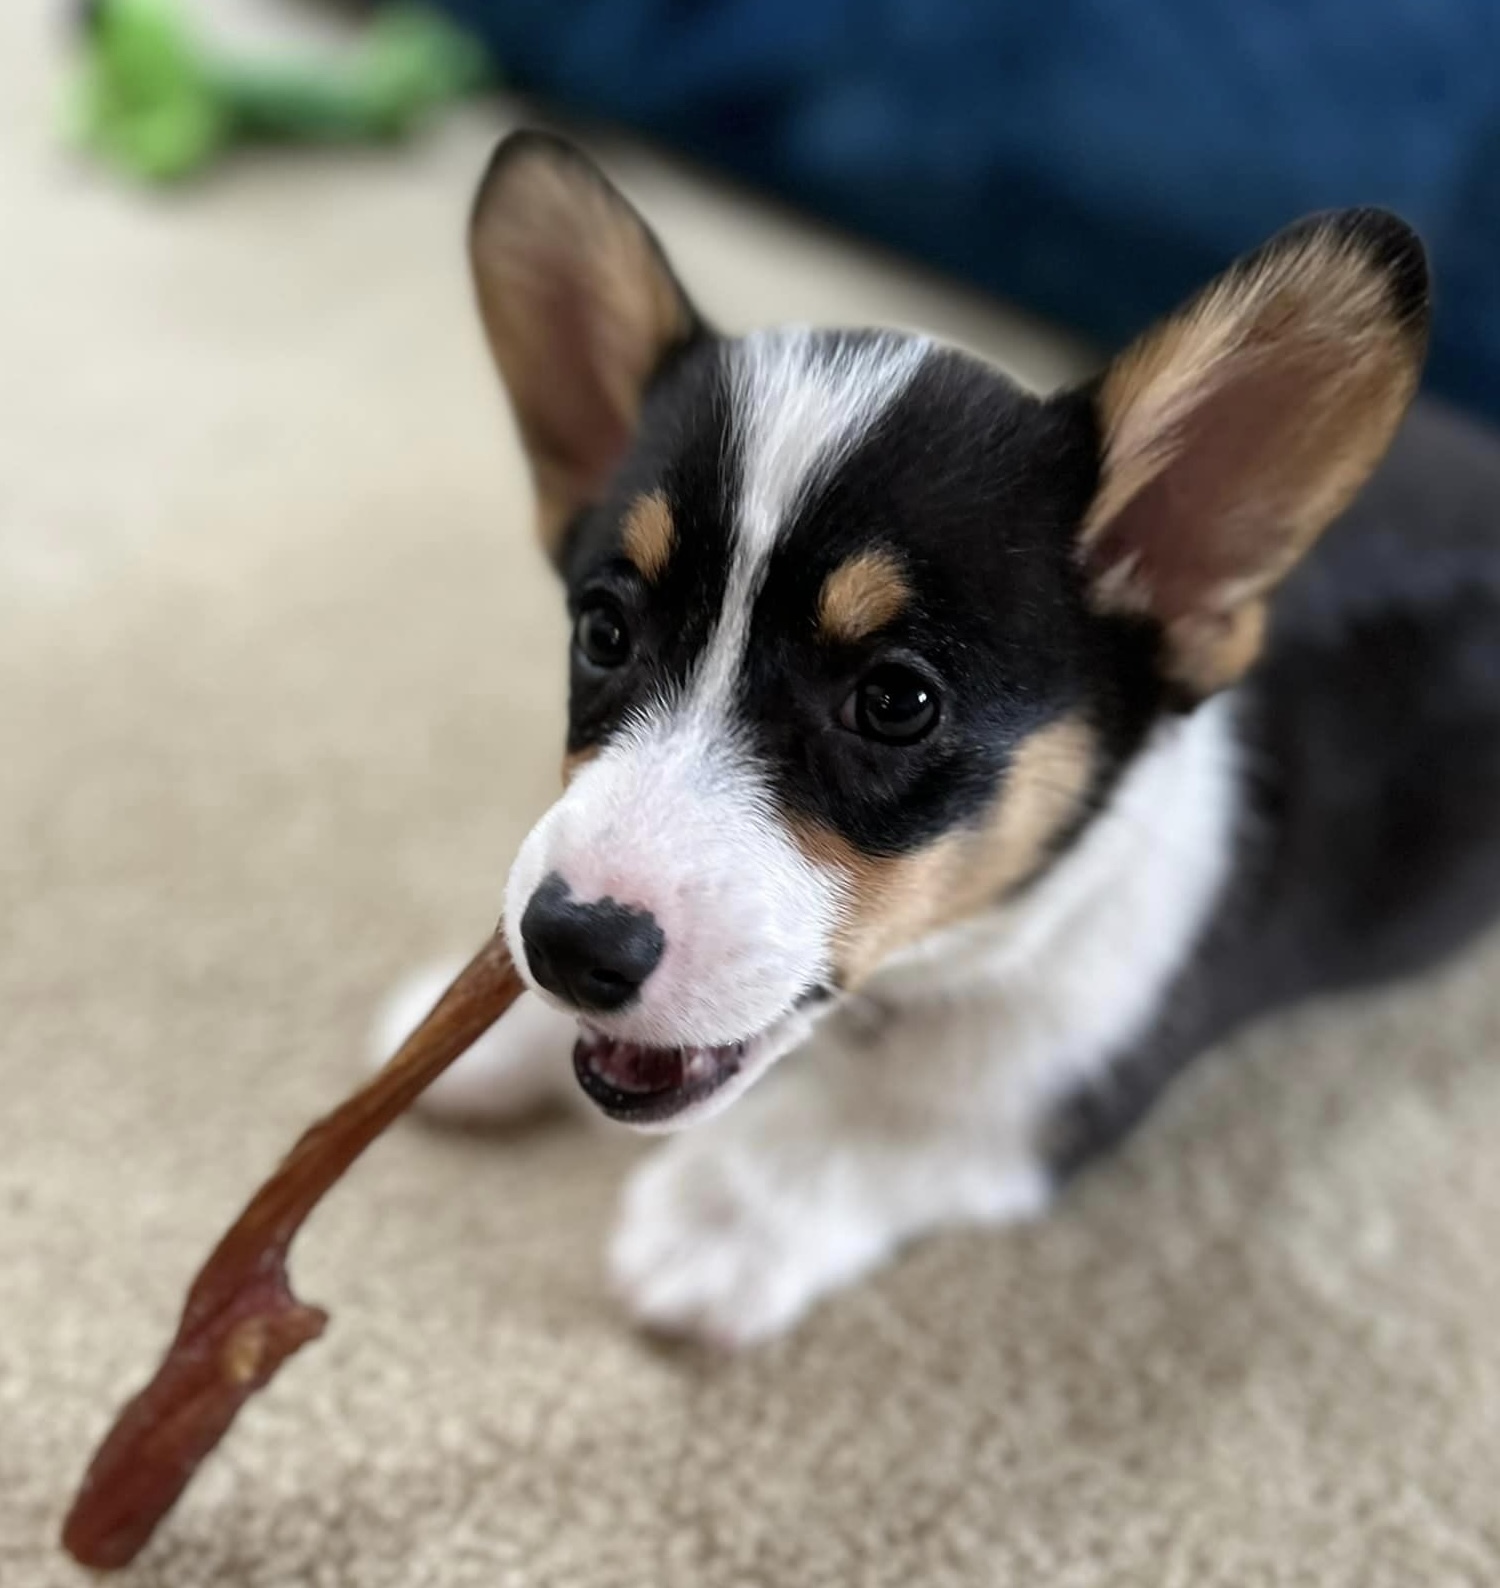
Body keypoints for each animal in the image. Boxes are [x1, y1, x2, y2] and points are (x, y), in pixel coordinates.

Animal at [377, 133, 1500, 1340]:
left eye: (895, 703)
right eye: (603, 631)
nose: (569, 944)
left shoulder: (1051, 1090)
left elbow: (883, 1131)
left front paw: (722, 1222)